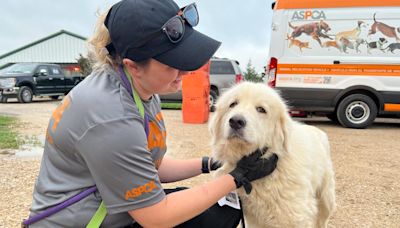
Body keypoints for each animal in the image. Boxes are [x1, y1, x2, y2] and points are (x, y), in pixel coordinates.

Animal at [211, 81, 336, 226]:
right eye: (233, 104)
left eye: (261, 109)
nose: (236, 121)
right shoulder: (253, 219)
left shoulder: (295, 218)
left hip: (326, 199)